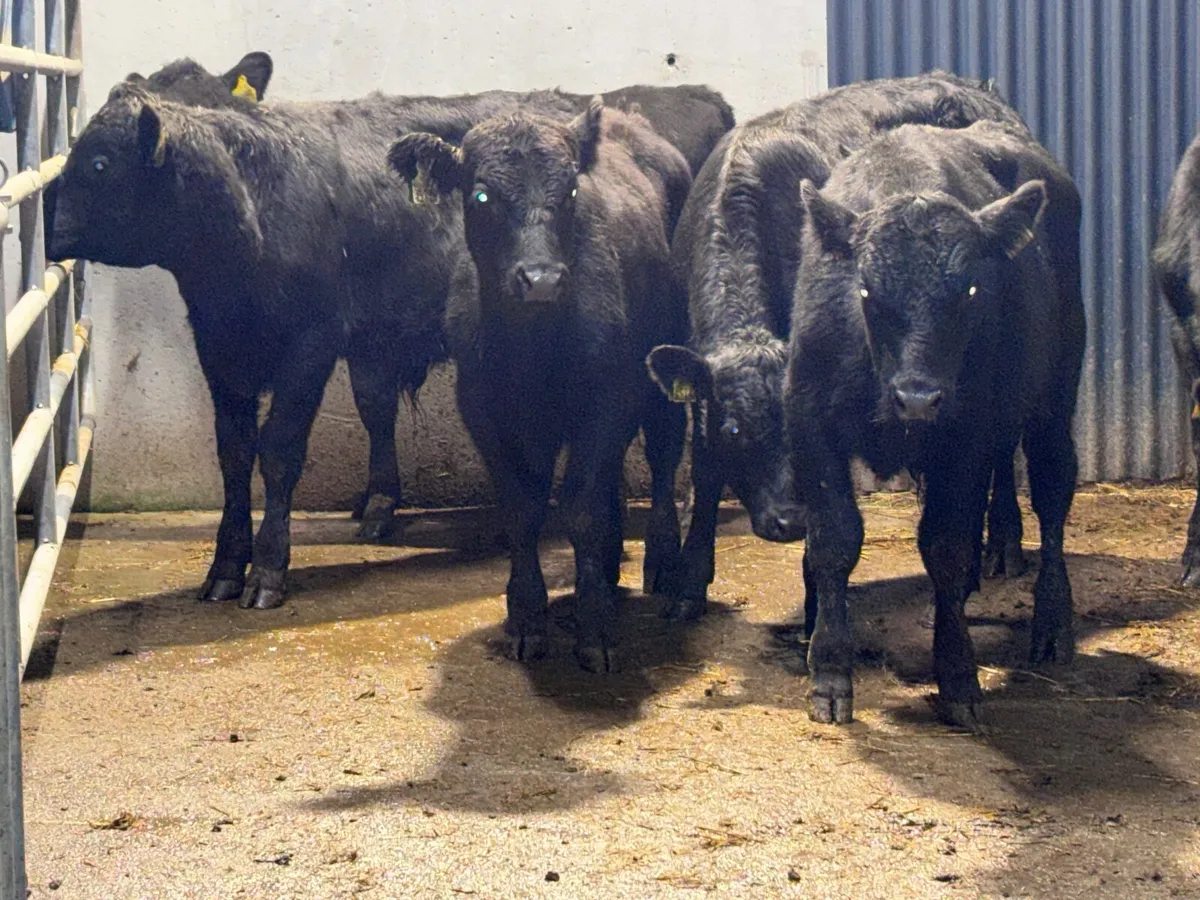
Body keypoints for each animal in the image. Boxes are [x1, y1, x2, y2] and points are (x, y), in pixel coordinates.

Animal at [46, 64, 733, 610]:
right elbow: (238, 453)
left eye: (98, 162)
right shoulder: (222, 346)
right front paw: (225, 566)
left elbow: (280, 450)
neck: (257, 206)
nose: (44, 217)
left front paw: (268, 570)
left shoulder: (313, 340)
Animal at [388, 99, 691, 672]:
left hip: (667, 361)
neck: (532, 347)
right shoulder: (483, 407)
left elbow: (582, 508)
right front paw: (527, 616)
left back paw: (664, 566)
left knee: (664, 455)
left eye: (571, 190)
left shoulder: (609, 397)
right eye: (482, 194)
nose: (542, 279)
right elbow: (523, 508)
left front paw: (594, 628)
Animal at [646, 72, 1032, 623]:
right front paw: (689, 585)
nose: (789, 521)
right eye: (734, 428)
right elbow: (704, 470)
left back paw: (1003, 545)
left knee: (1001, 446)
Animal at [785, 120, 1084, 731]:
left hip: (1055, 399)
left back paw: (1052, 624)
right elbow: (834, 541)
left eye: (969, 290)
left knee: (1052, 494)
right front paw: (829, 672)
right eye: (867, 290)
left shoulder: (965, 434)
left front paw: (958, 676)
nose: (918, 399)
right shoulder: (811, 424)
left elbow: (946, 546)